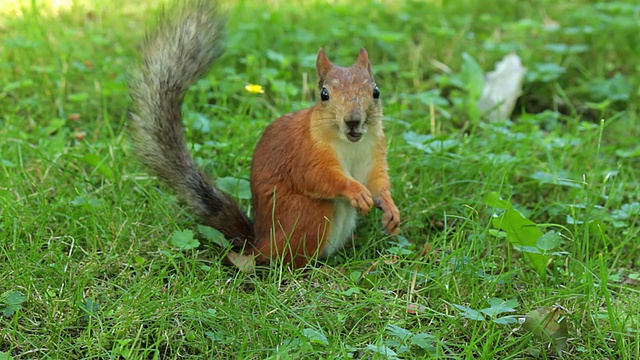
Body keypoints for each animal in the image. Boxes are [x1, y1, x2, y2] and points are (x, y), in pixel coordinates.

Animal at [127, 0, 400, 268]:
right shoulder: (305, 153)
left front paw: (389, 206)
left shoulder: (374, 152)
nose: (353, 120)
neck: (349, 143)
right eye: (324, 94)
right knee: (284, 260)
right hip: (308, 213)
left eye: (376, 91)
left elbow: (377, 181)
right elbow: (316, 176)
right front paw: (355, 190)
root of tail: (260, 242)